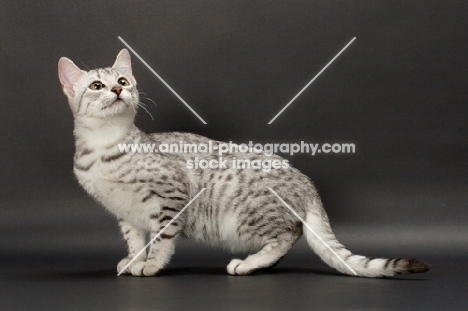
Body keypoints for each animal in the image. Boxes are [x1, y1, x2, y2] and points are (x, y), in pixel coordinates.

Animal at [57, 50, 428, 280]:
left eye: (123, 81)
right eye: (97, 85)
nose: (118, 91)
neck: (104, 144)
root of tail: (306, 182)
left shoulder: (171, 197)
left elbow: (161, 239)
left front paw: (151, 265)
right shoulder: (126, 211)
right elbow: (135, 239)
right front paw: (135, 259)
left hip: (242, 217)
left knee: (288, 235)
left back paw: (249, 264)